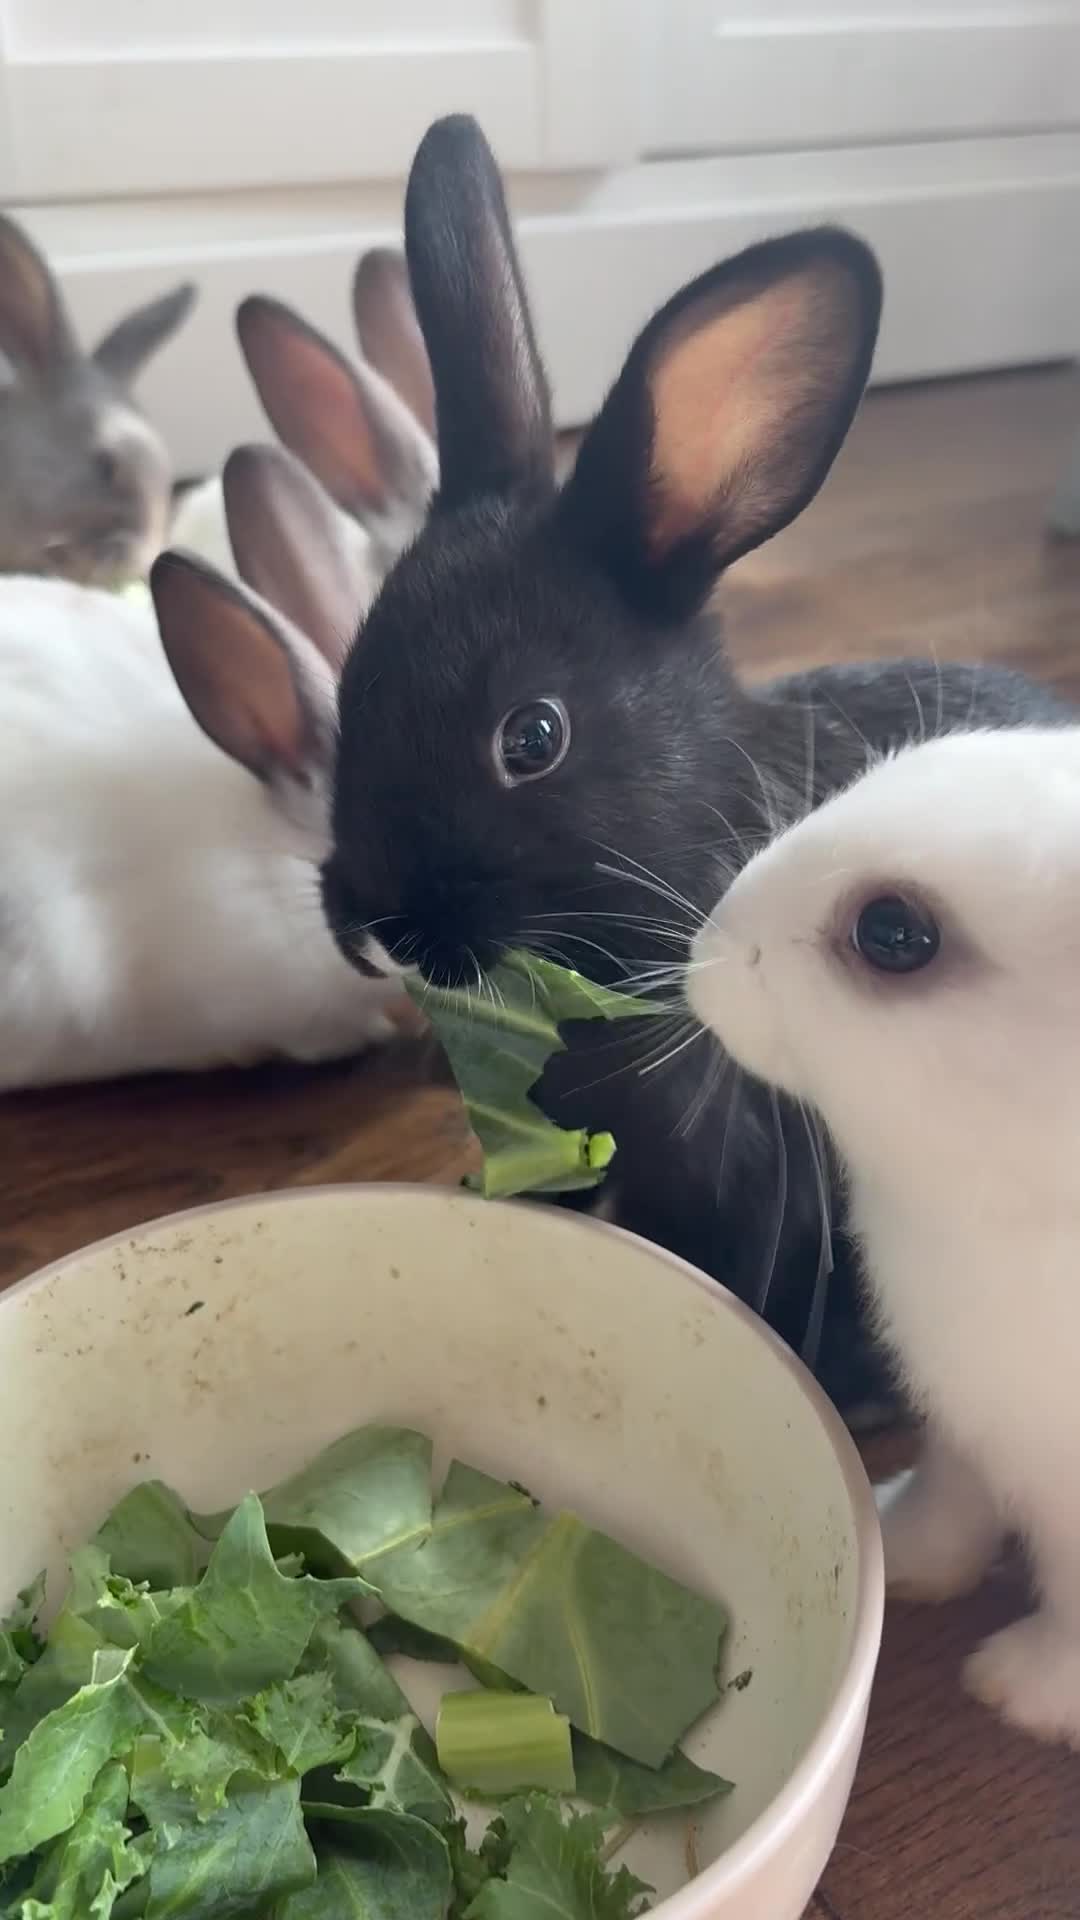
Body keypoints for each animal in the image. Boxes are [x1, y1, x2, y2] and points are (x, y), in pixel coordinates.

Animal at [687, 725, 1080, 1748]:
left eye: (895, 934)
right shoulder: (968, 1416)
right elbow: (954, 1492)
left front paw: (1020, 1690)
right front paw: (902, 1557)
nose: (708, 948)